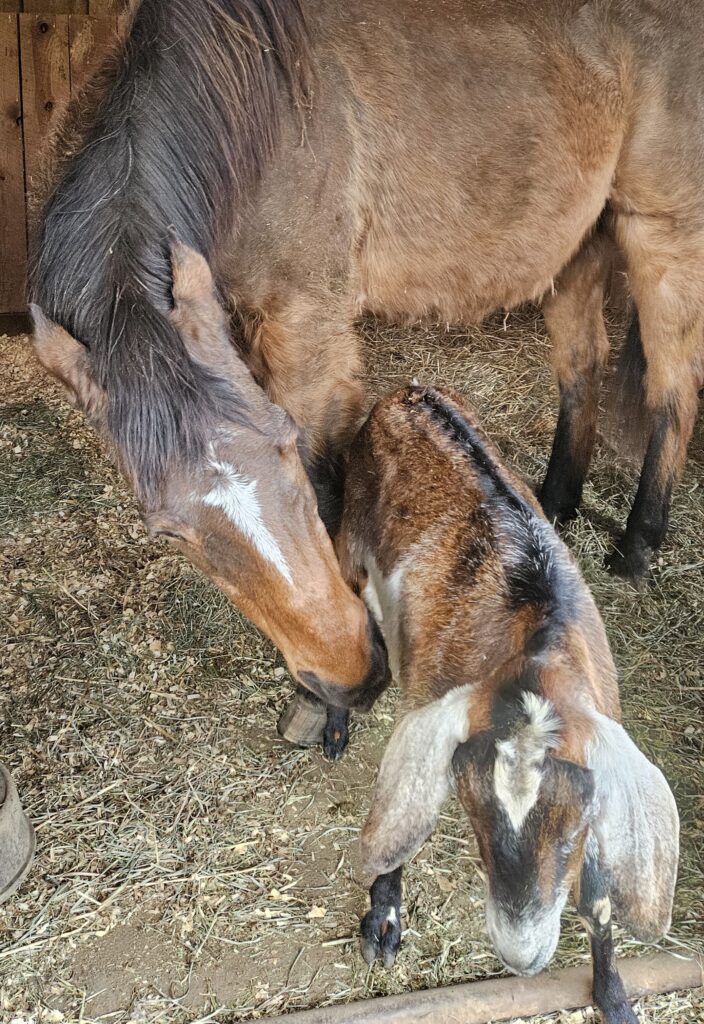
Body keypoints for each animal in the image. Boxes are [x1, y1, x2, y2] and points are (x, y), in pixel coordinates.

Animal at [30, 6, 704, 729]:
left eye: (284, 446)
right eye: (168, 531)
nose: (350, 676)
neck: (255, 120)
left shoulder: (308, 327)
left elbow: (329, 481)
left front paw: (316, 704)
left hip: (662, 235)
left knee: (672, 392)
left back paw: (636, 549)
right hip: (577, 246)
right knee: (583, 371)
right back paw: (554, 505)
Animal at [337, 382, 679, 1024]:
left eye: (574, 832)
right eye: (474, 819)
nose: (522, 956)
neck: (535, 635)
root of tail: (408, 392)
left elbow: (598, 900)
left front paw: (613, 995)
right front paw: (383, 922)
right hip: (349, 543)